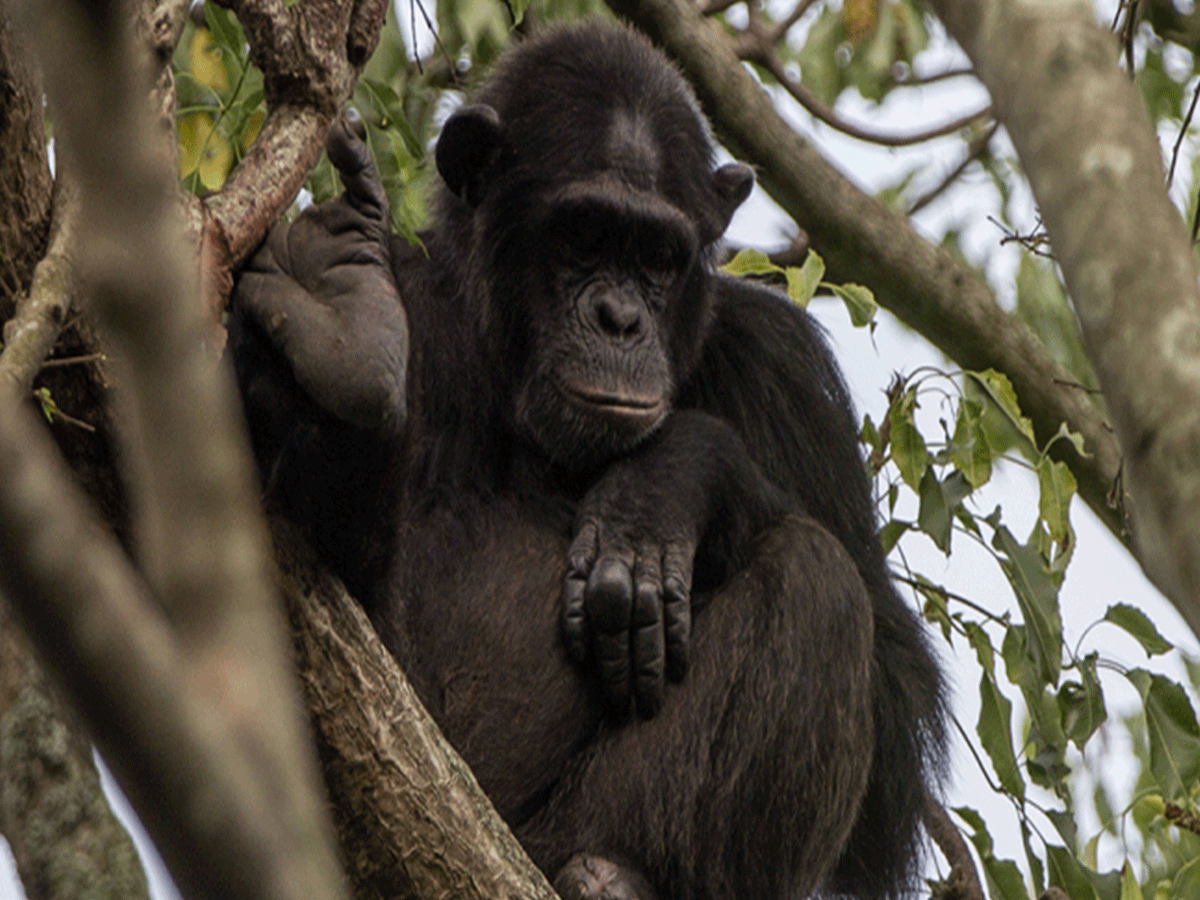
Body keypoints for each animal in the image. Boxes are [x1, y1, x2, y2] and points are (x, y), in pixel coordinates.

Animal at [229, 17, 945, 900]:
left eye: (659, 256)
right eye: (582, 236)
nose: (619, 317)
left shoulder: (783, 371)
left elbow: (893, 707)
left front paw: (668, 481)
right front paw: (345, 328)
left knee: (818, 582)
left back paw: (611, 873)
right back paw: (342, 320)